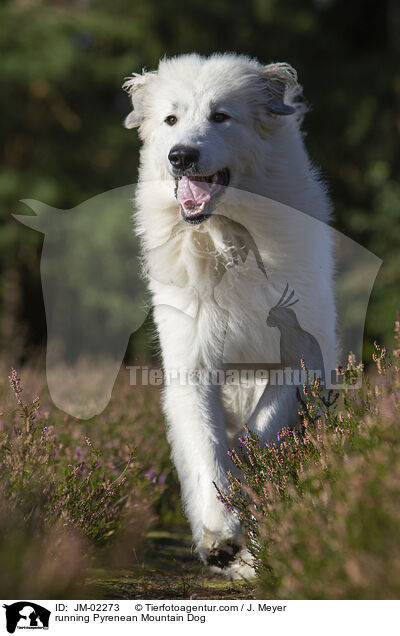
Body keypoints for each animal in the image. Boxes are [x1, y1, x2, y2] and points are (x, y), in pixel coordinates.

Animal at [122, 54, 338, 580]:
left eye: (221, 116)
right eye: (171, 119)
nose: (180, 156)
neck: (228, 239)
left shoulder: (298, 361)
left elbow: (257, 432)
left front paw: (242, 489)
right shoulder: (191, 368)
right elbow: (205, 447)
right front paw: (219, 532)